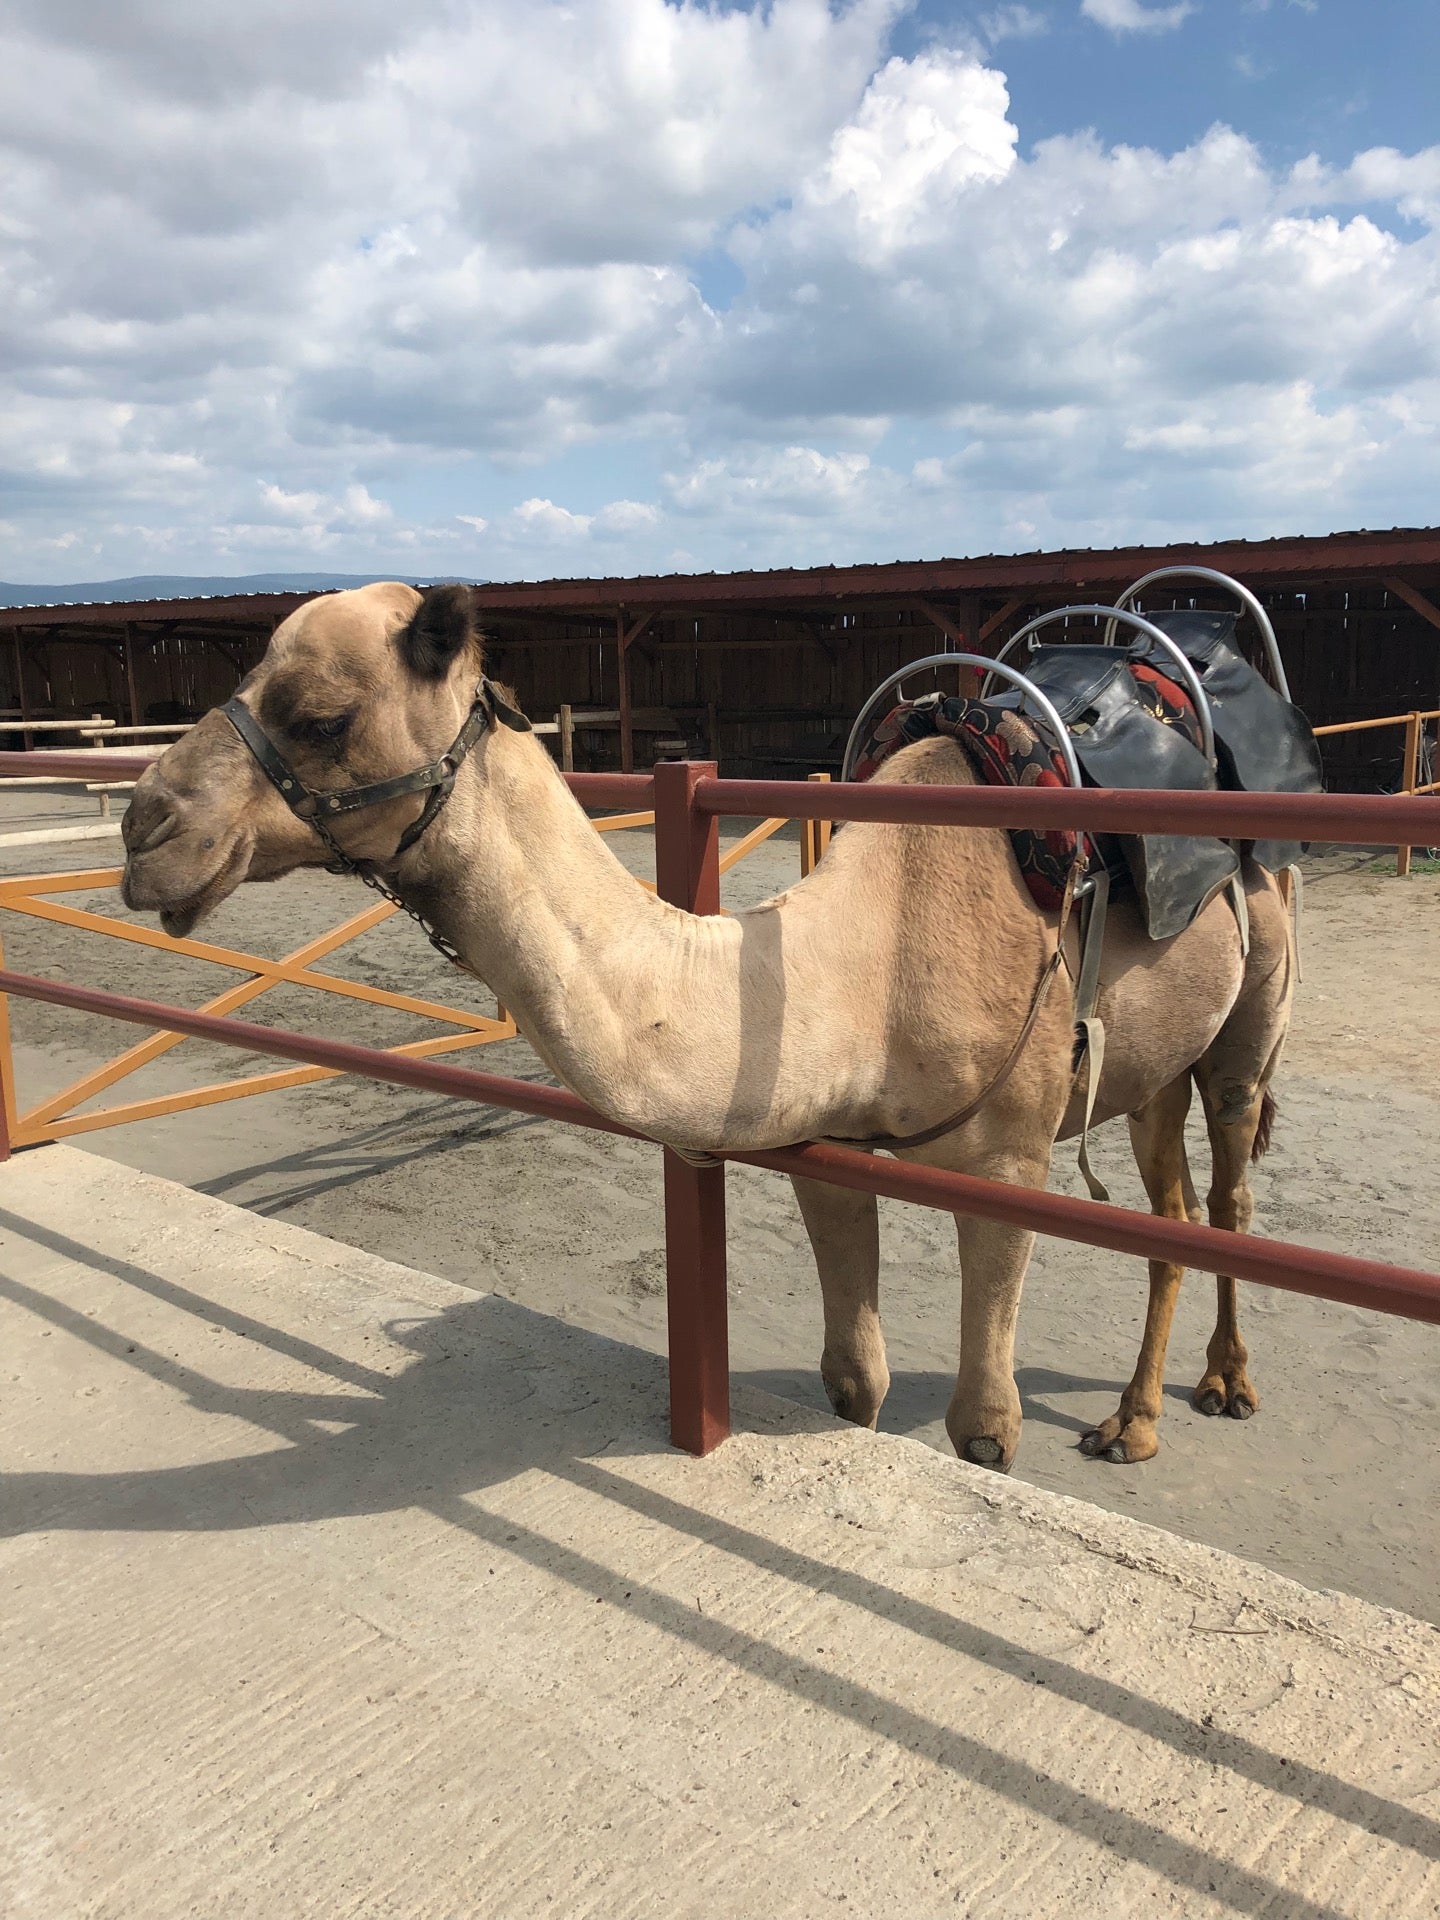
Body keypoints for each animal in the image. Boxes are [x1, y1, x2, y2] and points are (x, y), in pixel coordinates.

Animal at [120, 583, 1294, 1471]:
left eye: (323, 716)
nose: (145, 827)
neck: (866, 966)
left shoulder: (1006, 1159)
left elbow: (984, 1427)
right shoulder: (822, 1145)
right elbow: (853, 1379)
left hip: (1253, 1005)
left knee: (1228, 1192)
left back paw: (1224, 1386)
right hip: (1154, 1063)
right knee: (1169, 1204)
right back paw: (1131, 1421)